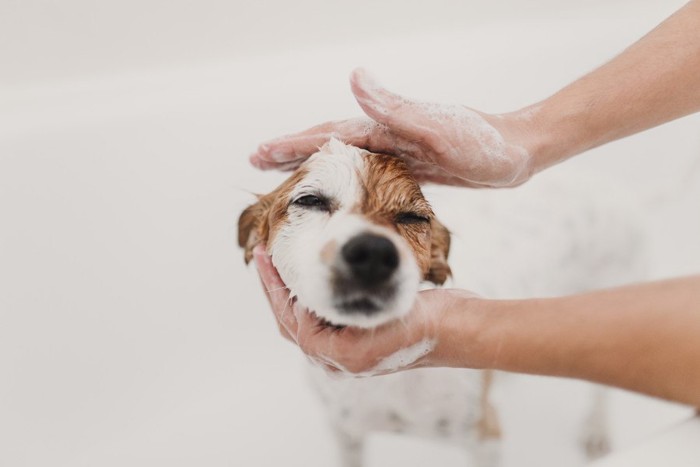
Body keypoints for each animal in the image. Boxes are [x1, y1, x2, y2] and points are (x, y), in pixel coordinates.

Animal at [237, 137, 644, 466]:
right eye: (310, 200)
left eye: (413, 217)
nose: (373, 253)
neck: (384, 385)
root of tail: (616, 192)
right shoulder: (345, 431)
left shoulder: (485, 437)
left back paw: (597, 429)